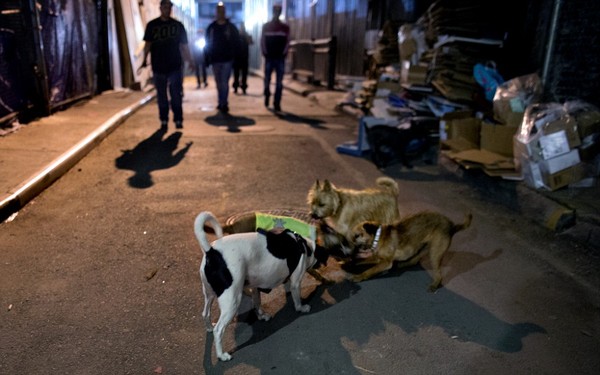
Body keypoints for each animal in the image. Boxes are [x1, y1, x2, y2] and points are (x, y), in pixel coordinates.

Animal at [195, 212, 328, 362]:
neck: (303, 245)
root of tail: (211, 252)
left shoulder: (255, 287)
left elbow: (257, 302)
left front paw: (261, 315)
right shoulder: (296, 281)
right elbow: (297, 299)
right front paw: (302, 307)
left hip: (209, 294)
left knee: (205, 313)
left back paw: (209, 328)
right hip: (232, 300)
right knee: (219, 330)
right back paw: (222, 355)